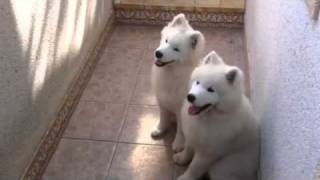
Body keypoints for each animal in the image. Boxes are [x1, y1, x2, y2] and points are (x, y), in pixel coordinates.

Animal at [151, 13, 205, 152]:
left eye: (176, 49)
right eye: (166, 41)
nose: (158, 53)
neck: (172, 74)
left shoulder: (181, 110)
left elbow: (180, 129)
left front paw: (178, 144)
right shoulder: (162, 102)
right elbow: (163, 118)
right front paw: (159, 130)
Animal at [175, 51, 260, 180]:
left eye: (210, 90)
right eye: (197, 82)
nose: (190, 97)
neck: (209, 117)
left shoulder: (208, 153)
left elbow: (194, 167)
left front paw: (186, 177)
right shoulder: (192, 135)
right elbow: (188, 150)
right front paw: (181, 158)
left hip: (221, 168)